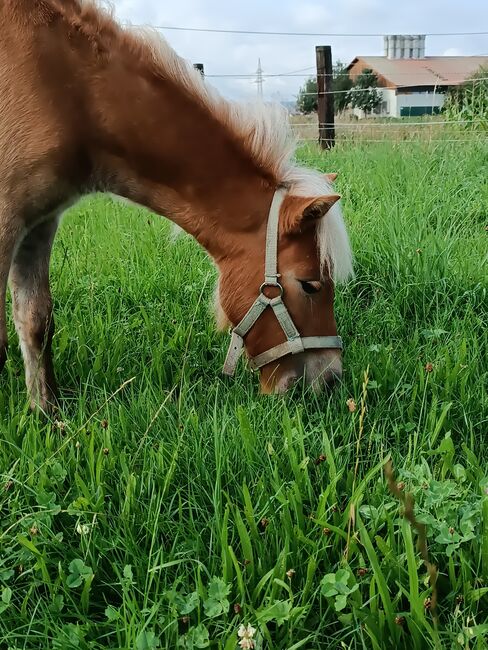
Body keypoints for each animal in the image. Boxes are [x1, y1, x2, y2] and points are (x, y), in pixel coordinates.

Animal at [0, 0, 350, 408]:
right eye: (310, 285)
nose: (330, 379)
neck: (66, 88)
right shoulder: (8, 220)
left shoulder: (40, 223)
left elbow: (36, 320)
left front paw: (47, 413)